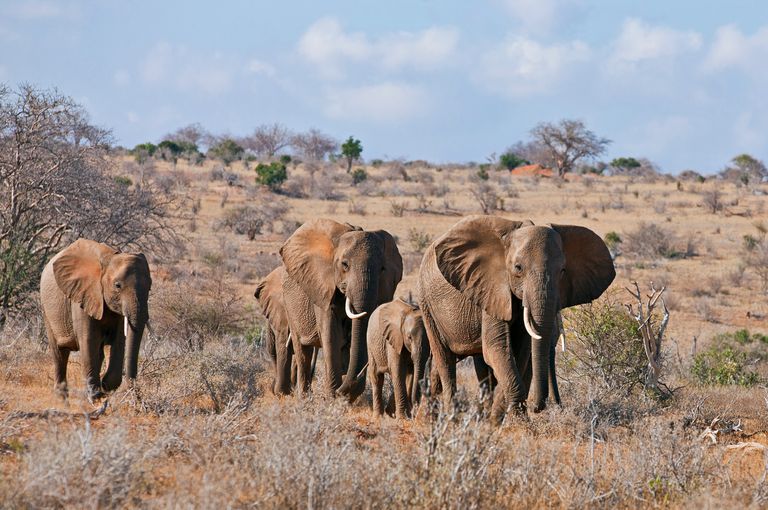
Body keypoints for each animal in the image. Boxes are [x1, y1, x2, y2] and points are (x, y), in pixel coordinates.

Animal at [39, 237, 152, 400]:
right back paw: (62, 398)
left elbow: (119, 340)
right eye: (117, 285)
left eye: (150, 287)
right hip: (47, 308)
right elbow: (89, 339)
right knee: (60, 353)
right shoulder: (83, 294)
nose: (132, 393)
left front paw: (105, 387)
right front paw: (95, 396)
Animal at [280, 218, 402, 398]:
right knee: (303, 351)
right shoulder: (322, 288)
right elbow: (331, 334)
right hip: (289, 304)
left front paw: (346, 396)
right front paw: (332, 396)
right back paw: (304, 397)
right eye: (345, 265)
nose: (340, 391)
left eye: (382, 269)